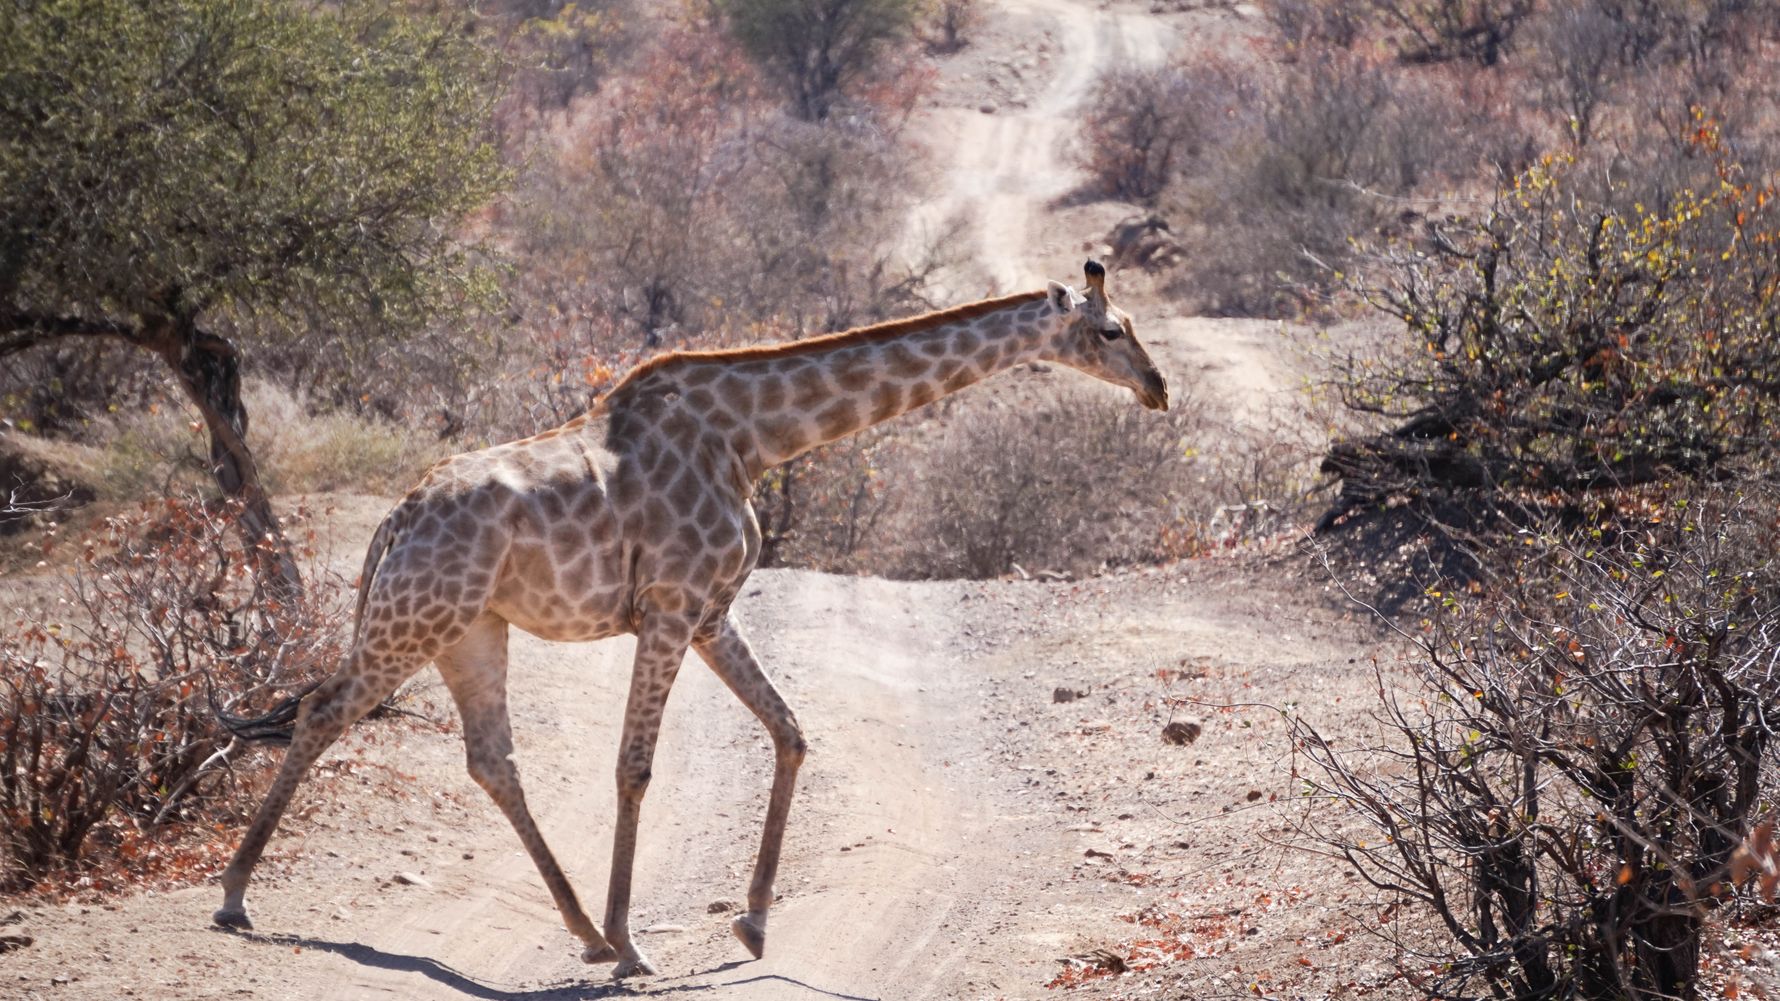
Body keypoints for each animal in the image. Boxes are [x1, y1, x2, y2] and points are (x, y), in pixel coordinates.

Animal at [212, 260, 1168, 977]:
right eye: (1112, 330)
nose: (1159, 388)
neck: (752, 437)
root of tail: (392, 520)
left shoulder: (712, 610)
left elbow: (791, 730)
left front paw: (751, 923)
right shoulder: (670, 608)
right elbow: (636, 765)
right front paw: (638, 941)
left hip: (471, 629)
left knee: (491, 758)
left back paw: (581, 931)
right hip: (415, 619)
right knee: (323, 711)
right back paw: (234, 895)